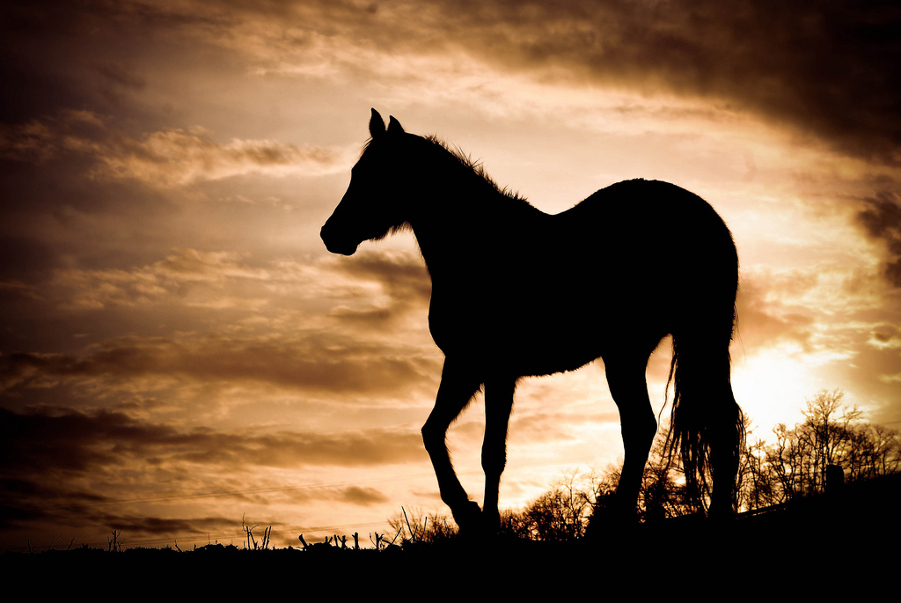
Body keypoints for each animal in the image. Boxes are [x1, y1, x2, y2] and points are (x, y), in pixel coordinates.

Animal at [320, 108, 740, 532]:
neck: (477, 245)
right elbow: (437, 433)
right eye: (356, 171)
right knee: (667, 424)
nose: (330, 234)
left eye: (376, 175)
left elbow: (488, 452)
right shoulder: (471, 366)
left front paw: (481, 518)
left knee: (683, 423)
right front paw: (470, 512)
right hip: (649, 348)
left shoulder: (488, 368)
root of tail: (708, 218)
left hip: (662, 345)